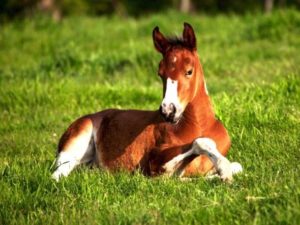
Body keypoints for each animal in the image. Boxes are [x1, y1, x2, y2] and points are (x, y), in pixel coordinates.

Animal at [51, 22, 243, 181]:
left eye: (189, 71)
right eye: (160, 73)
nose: (168, 111)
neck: (199, 125)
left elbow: (237, 166)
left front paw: (221, 173)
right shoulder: (154, 162)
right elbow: (200, 143)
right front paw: (223, 170)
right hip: (74, 145)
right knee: (57, 174)